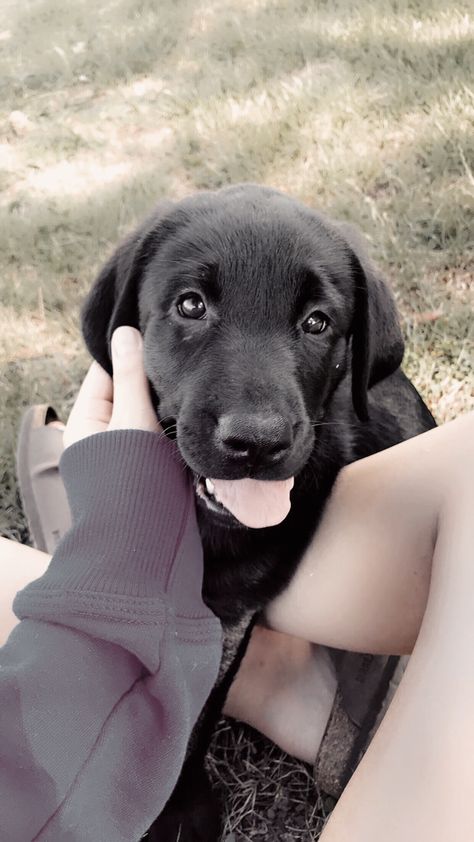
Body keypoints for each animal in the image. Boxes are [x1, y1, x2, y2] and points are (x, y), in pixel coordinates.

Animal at [82, 185, 436, 840]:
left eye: (318, 322)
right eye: (191, 305)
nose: (257, 442)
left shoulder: (229, 614)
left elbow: (195, 711)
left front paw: (178, 811)